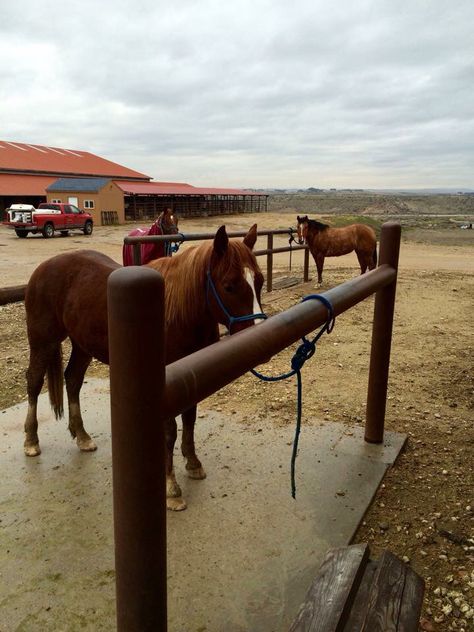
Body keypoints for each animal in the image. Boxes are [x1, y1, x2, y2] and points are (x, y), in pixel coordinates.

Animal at [23, 225, 262, 512]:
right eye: (229, 285)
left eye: (259, 281)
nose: (257, 333)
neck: (178, 315)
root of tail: (44, 267)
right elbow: (169, 431)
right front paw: (171, 488)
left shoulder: (192, 376)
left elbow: (190, 420)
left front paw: (193, 464)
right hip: (43, 342)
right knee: (34, 382)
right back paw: (31, 441)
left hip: (82, 344)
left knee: (73, 380)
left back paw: (82, 436)